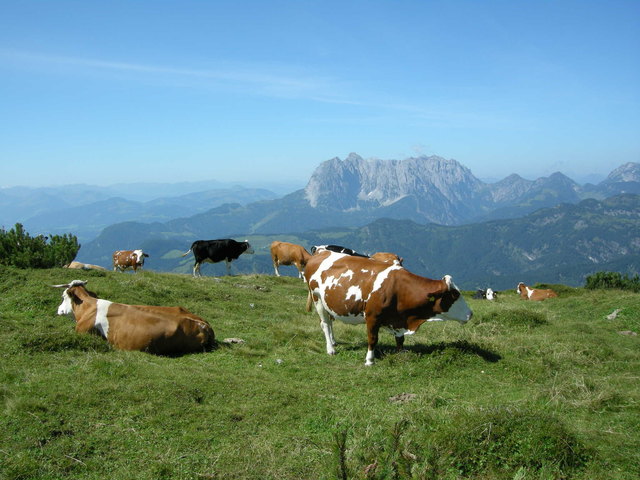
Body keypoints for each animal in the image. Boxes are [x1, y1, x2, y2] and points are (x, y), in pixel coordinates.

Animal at [302, 249, 472, 366]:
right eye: (455, 294)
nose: (470, 314)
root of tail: (321, 252)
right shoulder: (372, 316)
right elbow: (373, 339)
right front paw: (369, 360)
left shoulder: (398, 320)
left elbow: (400, 339)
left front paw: (400, 353)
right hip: (317, 299)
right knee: (325, 324)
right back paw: (331, 349)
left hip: (328, 303)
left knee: (330, 323)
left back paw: (333, 342)